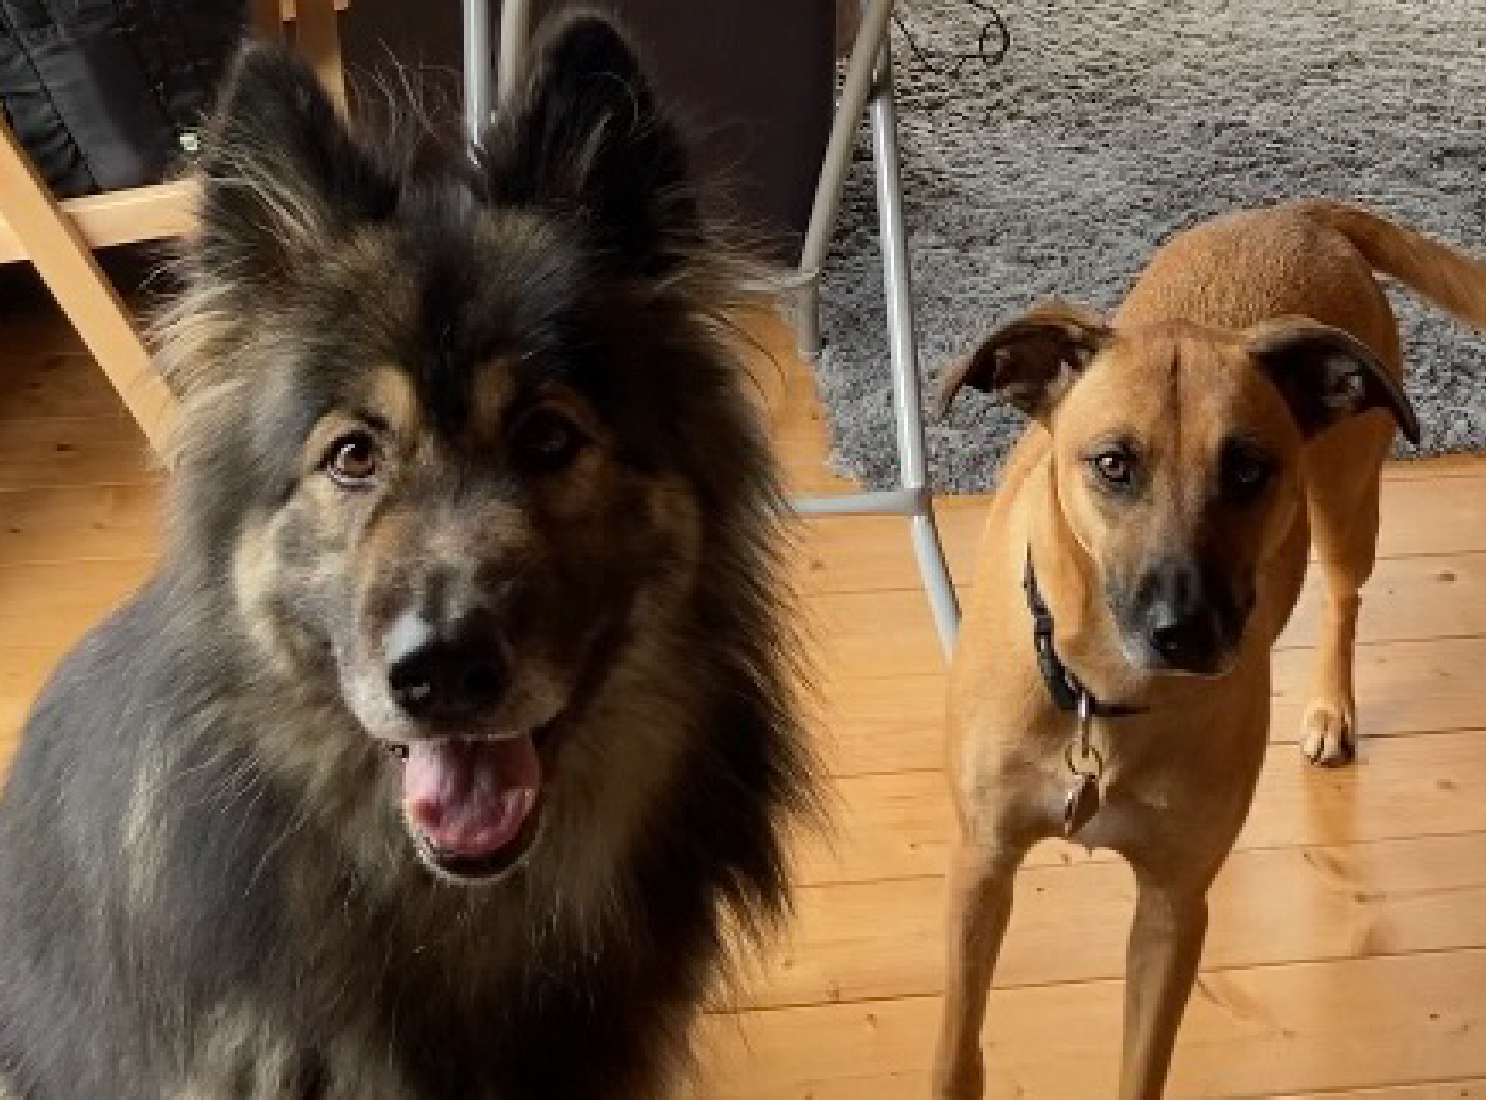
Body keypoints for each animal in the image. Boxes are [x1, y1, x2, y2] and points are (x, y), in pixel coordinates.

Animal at [932, 201, 1486, 1097]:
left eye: (1249, 469)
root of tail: (1294, 211)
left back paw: (1331, 709)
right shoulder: (980, 870)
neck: (1104, 695)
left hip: (1348, 500)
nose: (1188, 631)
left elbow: (1143, 1062)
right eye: (1113, 464)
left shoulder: (1171, 904)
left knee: (1344, 597)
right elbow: (956, 1047)